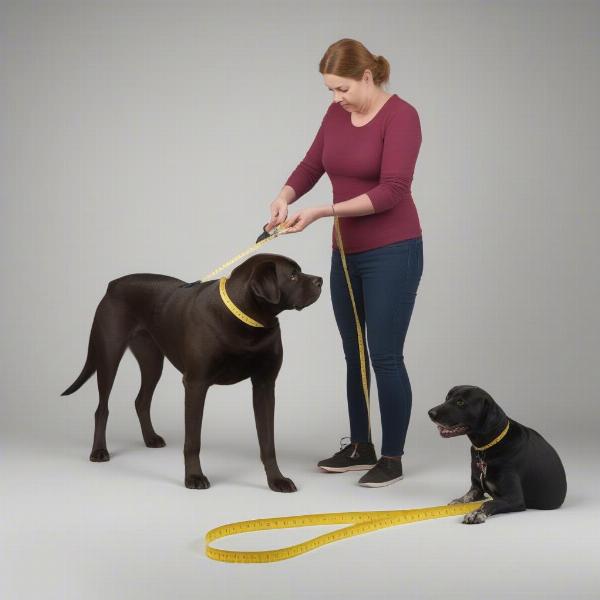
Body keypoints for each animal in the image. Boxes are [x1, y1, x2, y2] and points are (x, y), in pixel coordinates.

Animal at [61, 253, 324, 492]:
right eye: (292, 275)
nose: (320, 280)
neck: (247, 319)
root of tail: (114, 284)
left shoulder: (264, 385)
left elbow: (268, 443)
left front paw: (276, 480)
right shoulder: (196, 384)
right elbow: (193, 441)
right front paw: (194, 477)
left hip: (152, 361)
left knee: (141, 400)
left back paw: (150, 438)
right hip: (108, 356)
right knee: (102, 408)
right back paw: (99, 450)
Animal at [428, 386, 564, 524]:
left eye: (460, 402)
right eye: (447, 398)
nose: (430, 413)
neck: (486, 448)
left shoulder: (515, 498)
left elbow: (488, 503)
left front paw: (477, 513)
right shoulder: (477, 487)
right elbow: (468, 496)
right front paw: (459, 502)